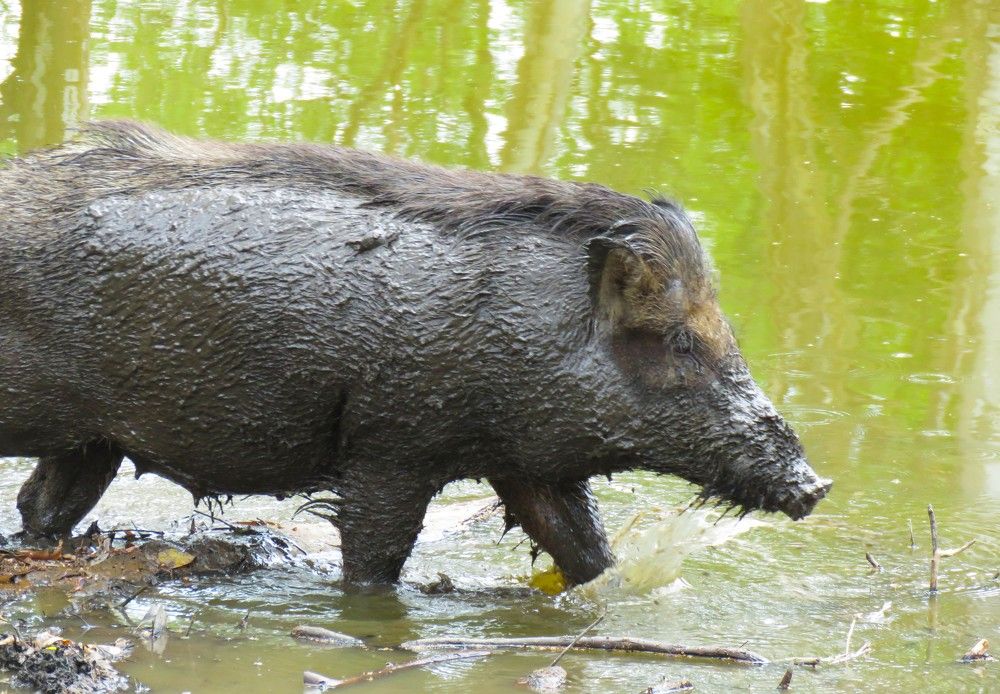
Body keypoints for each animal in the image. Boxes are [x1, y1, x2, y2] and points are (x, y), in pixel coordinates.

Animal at [0, 121, 830, 585]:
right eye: (676, 342)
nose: (816, 486)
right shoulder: (390, 450)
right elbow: (375, 565)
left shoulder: (526, 464)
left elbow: (586, 555)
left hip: (96, 438)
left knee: (42, 504)